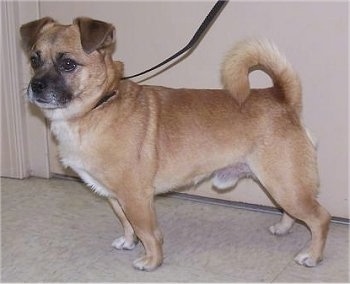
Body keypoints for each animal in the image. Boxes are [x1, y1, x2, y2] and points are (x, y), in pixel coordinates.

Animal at [20, 17, 330, 270]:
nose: (35, 86)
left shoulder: (136, 197)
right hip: (281, 185)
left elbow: (148, 232)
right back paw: (283, 228)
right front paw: (129, 242)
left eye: (68, 64)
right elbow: (127, 223)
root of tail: (281, 97)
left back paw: (312, 256)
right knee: (292, 212)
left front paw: (152, 260)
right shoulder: (115, 196)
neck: (99, 105)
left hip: (285, 184)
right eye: (34, 60)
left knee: (320, 218)